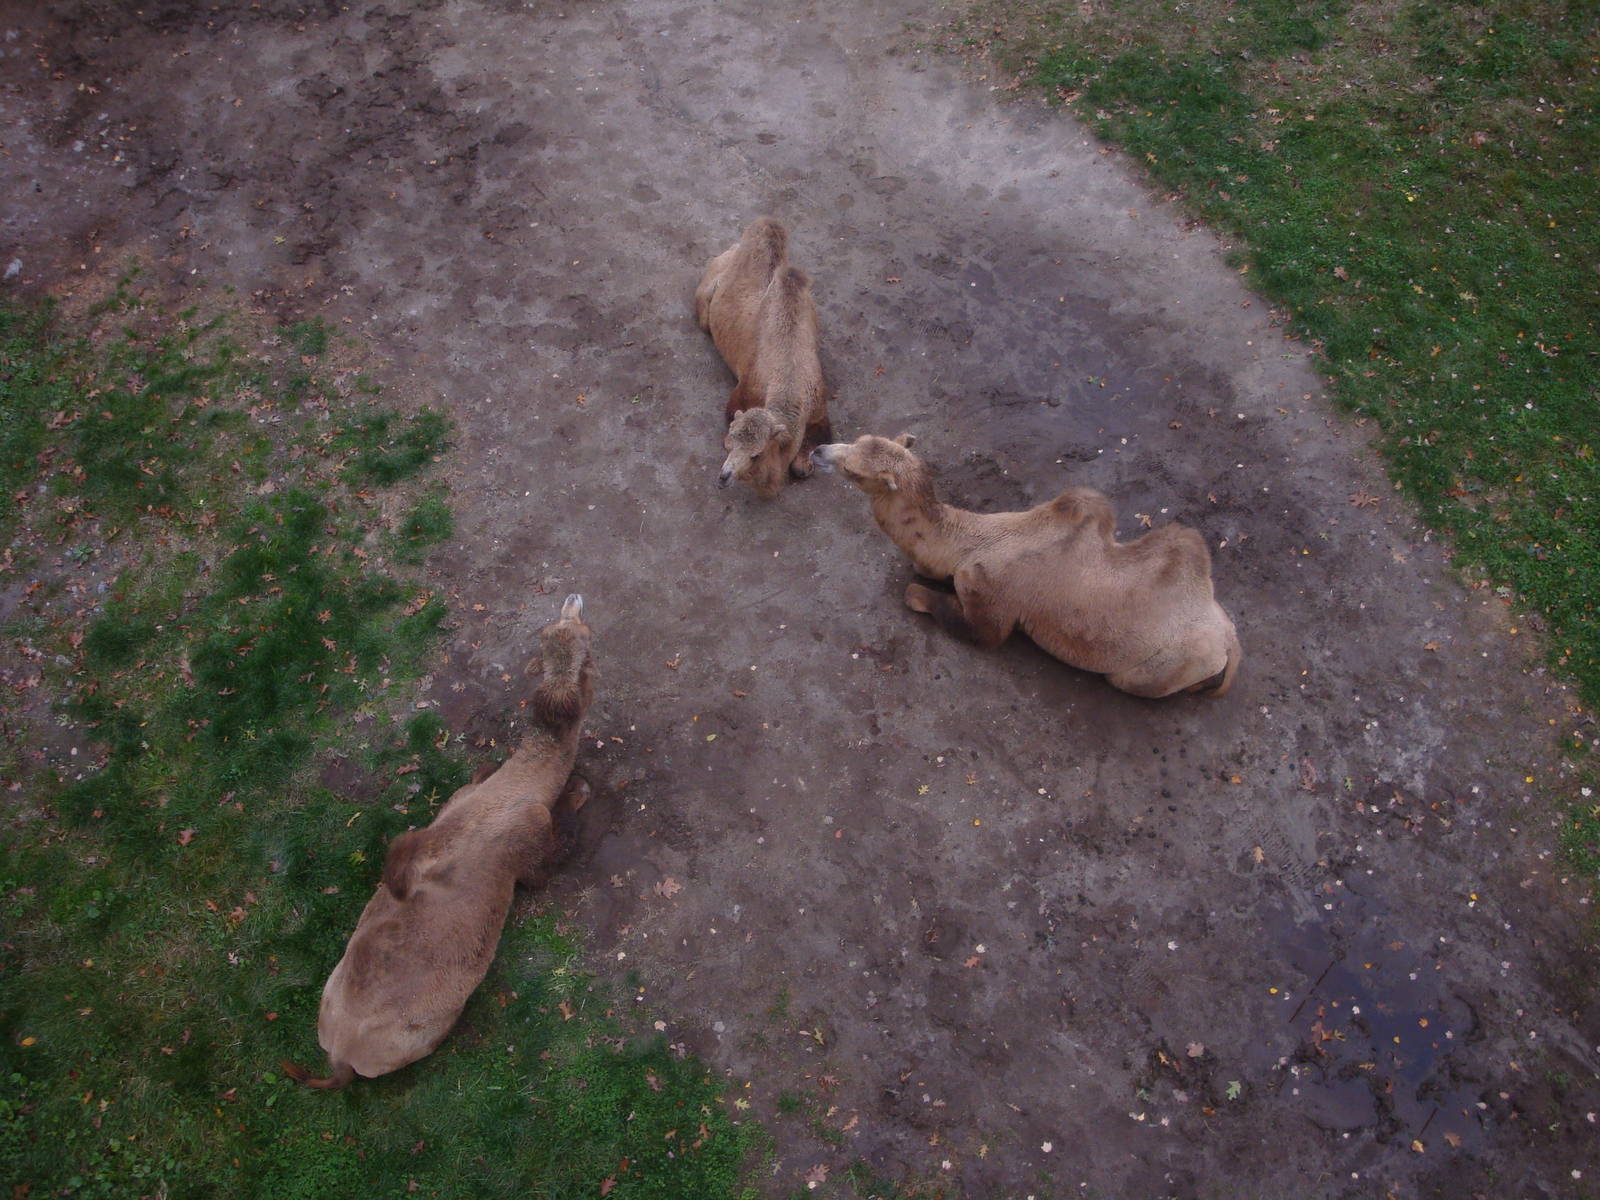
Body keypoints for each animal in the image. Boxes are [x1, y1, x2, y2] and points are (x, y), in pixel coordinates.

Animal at [281, 594, 597, 1089]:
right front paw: (580, 790)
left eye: (561, 632)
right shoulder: (530, 847)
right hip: (425, 1032)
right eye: (583, 636)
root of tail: (342, 1058)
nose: (572, 599)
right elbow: (552, 856)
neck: (517, 787)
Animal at [694, 217, 832, 498]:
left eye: (756, 454)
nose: (724, 476)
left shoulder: (820, 412)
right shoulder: (741, 396)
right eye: (730, 444)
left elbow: (804, 463)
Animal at [812, 435, 1241, 698]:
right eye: (857, 440)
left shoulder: (986, 593)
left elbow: (973, 627)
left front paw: (915, 593)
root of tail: (1229, 642)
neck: (970, 540)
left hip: (1165, 667)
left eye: (854, 470)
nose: (818, 450)